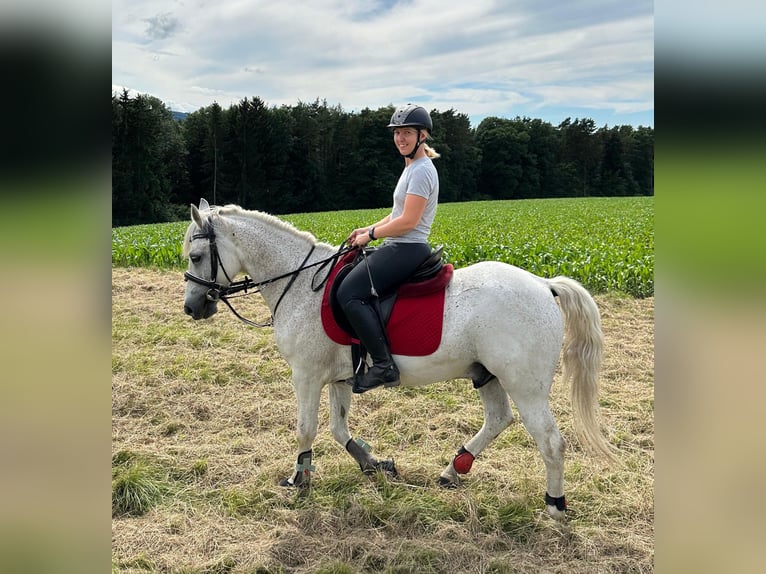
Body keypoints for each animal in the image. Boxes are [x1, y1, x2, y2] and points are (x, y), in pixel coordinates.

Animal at [182, 200, 616, 520]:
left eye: (197, 255)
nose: (191, 308)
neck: (301, 284)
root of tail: (544, 284)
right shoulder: (339, 379)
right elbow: (339, 429)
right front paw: (374, 465)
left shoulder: (305, 375)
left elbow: (306, 429)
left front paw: (299, 480)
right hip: (486, 374)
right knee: (498, 419)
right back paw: (453, 470)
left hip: (525, 384)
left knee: (551, 441)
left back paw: (554, 506)